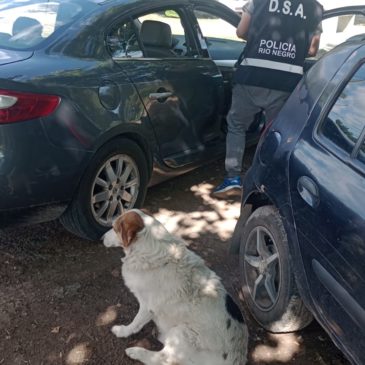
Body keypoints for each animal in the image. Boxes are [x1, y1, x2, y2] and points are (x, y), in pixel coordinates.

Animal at [104, 209, 249, 362]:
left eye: (114, 228)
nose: (101, 238)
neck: (149, 249)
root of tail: (237, 359)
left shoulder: (147, 306)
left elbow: (135, 323)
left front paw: (122, 331)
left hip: (181, 332)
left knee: (162, 359)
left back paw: (137, 352)